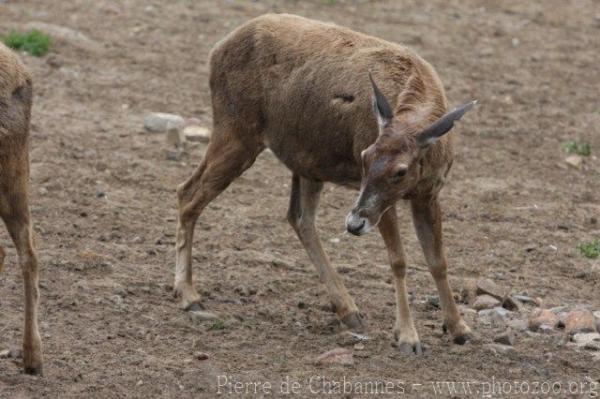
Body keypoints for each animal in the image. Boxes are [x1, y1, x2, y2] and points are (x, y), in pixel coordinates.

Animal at [176, 14, 476, 354]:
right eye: (364, 155)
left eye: (400, 171)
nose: (354, 223)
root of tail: (216, 51)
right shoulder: (381, 200)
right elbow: (398, 259)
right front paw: (407, 336)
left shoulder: (428, 193)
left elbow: (438, 260)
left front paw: (459, 328)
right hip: (236, 131)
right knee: (188, 193)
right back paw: (188, 294)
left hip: (305, 161)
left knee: (298, 217)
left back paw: (348, 309)